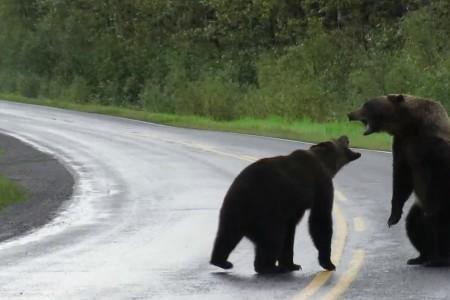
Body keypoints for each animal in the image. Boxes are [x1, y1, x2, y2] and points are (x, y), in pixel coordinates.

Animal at [209, 136, 360, 274]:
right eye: (338, 140)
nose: (346, 136)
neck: (326, 164)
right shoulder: (320, 184)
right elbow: (320, 220)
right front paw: (329, 263)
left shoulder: (292, 208)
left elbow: (290, 231)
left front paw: (292, 264)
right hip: (264, 210)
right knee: (273, 237)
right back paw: (269, 267)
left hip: (233, 210)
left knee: (226, 235)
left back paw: (222, 261)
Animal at [350, 94, 450, 268]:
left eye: (366, 105)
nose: (350, 114)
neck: (408, 126)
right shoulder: (402, 146)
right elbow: (401, 178)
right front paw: (392, 218)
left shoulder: (434, 147)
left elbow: (436, 178)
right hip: (418, 208)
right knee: (413, 223)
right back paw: (421, 257)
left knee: (439, 224)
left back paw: (439, 260)